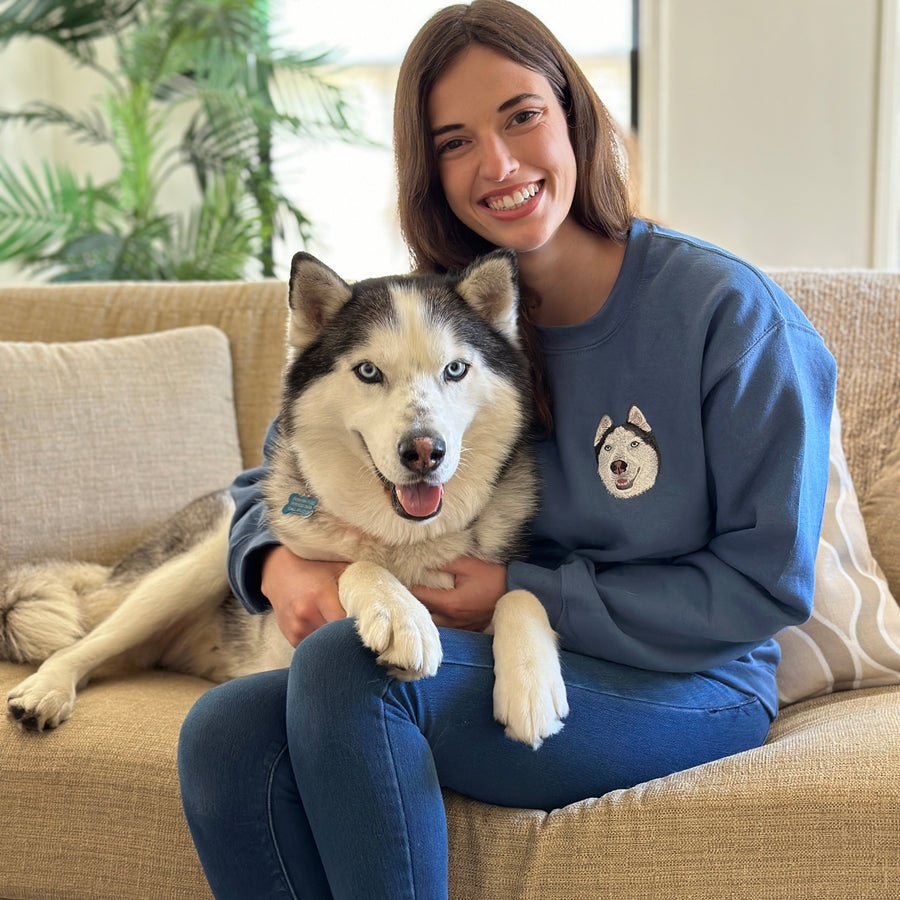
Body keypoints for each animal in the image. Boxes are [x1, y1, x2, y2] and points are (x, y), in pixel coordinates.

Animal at [3, 250, 568, 748]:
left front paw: (531, 684)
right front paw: (400, 612)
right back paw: (46, 689)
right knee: (85, 642)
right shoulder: (282, 644)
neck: (403, 539)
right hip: (192, 567)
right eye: (368, 372)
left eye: (455, 370)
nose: (424, 451)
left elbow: (520, 592)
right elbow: (353, 566)